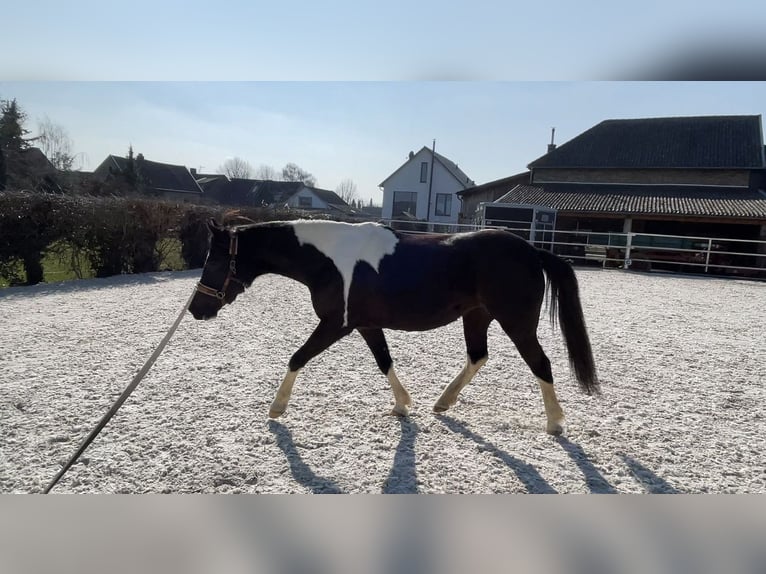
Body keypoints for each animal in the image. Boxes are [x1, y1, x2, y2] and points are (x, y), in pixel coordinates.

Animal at [188, 218, 600, 434]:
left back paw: (555, 423)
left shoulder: (335, 324)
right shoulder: (365, 325)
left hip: (516, 322)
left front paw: (277, 408)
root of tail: (533, 251)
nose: (195, 310)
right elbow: (384, 361)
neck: (329, 259)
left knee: (540, 364)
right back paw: (443, 402)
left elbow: (296, 358)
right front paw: (403, 406)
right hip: (476, 316)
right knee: (477, 356)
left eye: (214, 262)